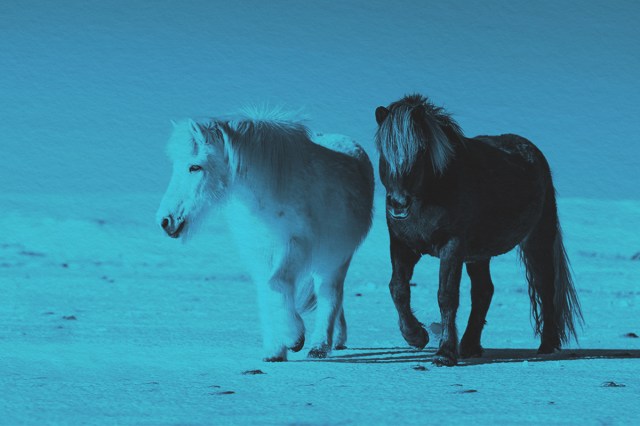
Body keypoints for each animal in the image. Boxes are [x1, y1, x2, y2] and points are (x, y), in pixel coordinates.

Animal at [156, 108, 376, 362]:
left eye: (195, 167)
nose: (166, 221)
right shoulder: (258, 252)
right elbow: (266, 293)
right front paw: (275, 350)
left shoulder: (296, 245)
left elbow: (277, 283)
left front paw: (294, 338)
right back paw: (336, 340)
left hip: (334, 259)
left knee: (330, 294)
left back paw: (320, 346)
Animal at [372, 94, 584, 366]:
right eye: (384, 151)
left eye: (420, 151)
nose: (398, 203)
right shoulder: (402, 245)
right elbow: (398, 289)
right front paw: (416, 336)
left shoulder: (452, 246)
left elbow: (447, 296)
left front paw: (444, 353)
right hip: (479, 255)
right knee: (484, 291)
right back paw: (470, 345)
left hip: (538, 239)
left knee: (545, 286)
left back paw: (547, 344)